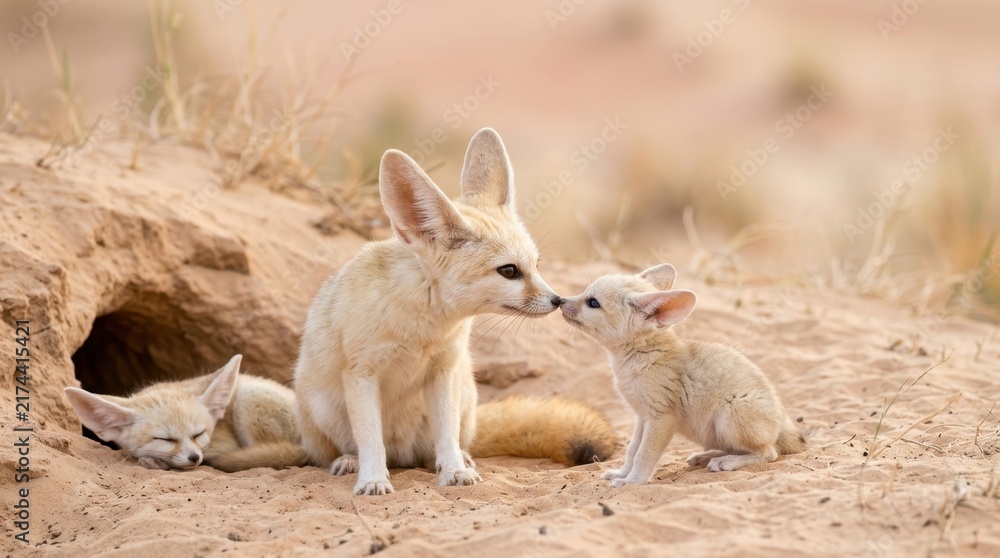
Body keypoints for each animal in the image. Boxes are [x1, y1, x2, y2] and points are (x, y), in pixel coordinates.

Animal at [63, 354, 307, 472]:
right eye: (165, 439)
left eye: (198, 434)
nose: (194, 457)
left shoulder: (225, 444)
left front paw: (158, 463)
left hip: (249, 398)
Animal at [294, 128, 617, 495]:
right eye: (509, 271)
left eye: (536, 265)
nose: (557, 300)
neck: (422, 326)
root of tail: (402, 453)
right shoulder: (362, 374)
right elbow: (370, 439)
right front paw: (373, 478)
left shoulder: (444, 370)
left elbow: (446, 435)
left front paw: (454, 471)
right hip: (324, 408)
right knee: (351, 447)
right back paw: (349, 461)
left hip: (463, 393)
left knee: (445, 444)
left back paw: (461, 458)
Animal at [560, 264, 806, 487]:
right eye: (585, 292)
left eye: (593, 303)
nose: (560, 301)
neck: (643, 356)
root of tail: (785, 427)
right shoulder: (642, 416)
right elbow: (631, 449)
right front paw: (621, 473)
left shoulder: (661, 418)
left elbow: (644, 453)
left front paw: (633, 481)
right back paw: (708, 457)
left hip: (729, 415)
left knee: (769, 453)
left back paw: (726, 462)